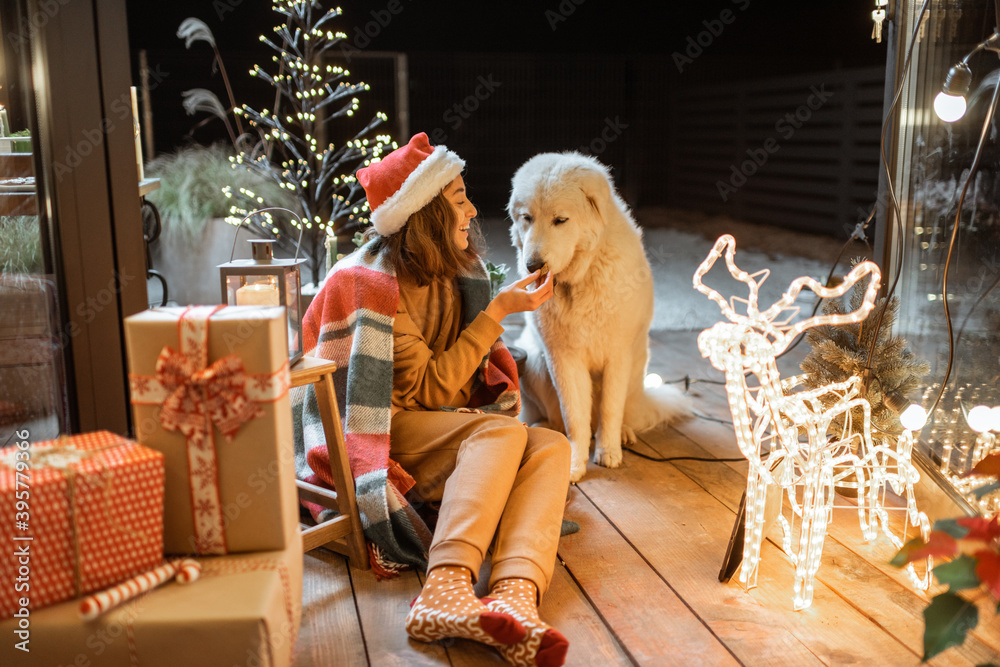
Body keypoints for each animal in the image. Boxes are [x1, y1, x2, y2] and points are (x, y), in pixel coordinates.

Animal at [504, 153, 692, 480]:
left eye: (560, 220)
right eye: (527, 218)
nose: (533, 265)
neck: (582, 276)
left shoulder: (617, 356)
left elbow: (610, 409)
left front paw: (608, 451)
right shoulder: (563, 358)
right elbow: (574, 415)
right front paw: (575, 462)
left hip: (636, 371)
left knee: (623, 412)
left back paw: (625, 434)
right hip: (536, 362)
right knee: (559, 418)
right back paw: (546, 427)